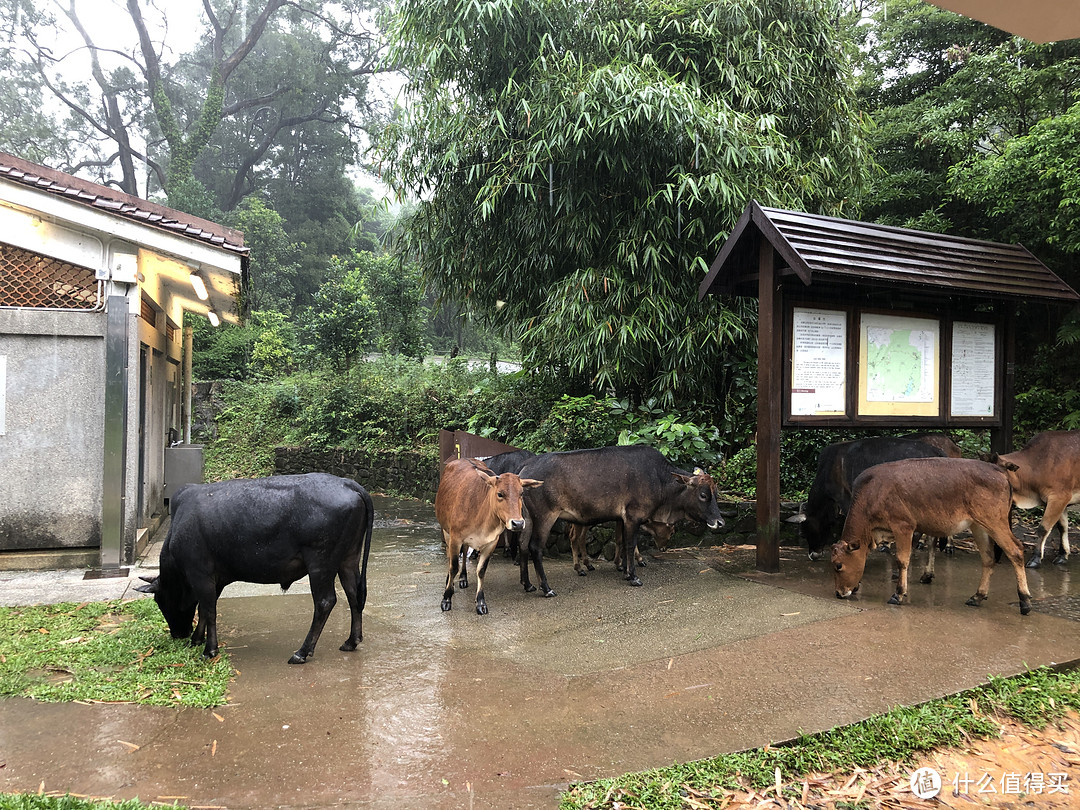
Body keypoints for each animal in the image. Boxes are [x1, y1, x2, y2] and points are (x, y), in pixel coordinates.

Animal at [135, 475, 375, 665]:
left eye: (160, 601)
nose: (178, 634)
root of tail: (348, 483)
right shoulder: (215, 579)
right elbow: (204, 609)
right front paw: (197, 638)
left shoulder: (200, 575)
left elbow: (209, 610)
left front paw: (208, 649)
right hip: (348, 559)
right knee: (354, 595)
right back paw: (351, 641)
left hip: (320, 563)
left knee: (325, 602)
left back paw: (302, 652)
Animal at [436, 457, 544, 613]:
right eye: (500, 493)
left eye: (521, 493)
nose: (517, 523)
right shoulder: (456, 537)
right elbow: (453, 566)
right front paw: (446, 598)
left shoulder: (491, 542)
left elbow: (481, 570)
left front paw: (480, 602)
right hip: (446, 531)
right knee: (451, 559)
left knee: (464, 553)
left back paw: (463, 578)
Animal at [516, 447, 725, 591]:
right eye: (703, 495)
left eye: (715, 493)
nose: (720, 522)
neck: (660, 480)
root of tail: (524, 468)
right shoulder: (633, 516)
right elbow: (630, 544)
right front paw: (633, 576)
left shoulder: (623, 519)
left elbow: (622, 542)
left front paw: (624, 571)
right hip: (544, 517)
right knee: (536, 547)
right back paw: (546, 587)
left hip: (527, 518)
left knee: (524, 545)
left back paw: (528, 584)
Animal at [829, 457, 1032, 613]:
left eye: (838, 565)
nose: (839, 592)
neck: (872, 494)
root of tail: (1000, 472)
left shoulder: (903, 526)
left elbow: (902, 560)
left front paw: (898, 594)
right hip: (978, 526)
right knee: (988, 558)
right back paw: (977, 596)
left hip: (995, 522)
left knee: (1016, 551)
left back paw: (1025, 601)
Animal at [989, 432, 1080, 570]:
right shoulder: (1057, 501)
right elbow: (1062, 527)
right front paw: (1062, 555)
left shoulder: (1058, 497)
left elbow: (1043, 528)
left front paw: (1036, 558)